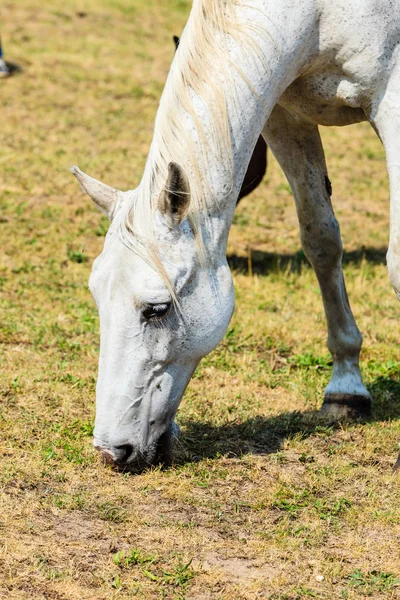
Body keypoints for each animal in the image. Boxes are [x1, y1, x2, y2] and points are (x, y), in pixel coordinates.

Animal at [71, 0, 400, 472]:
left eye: (156, 309)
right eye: (98, 298)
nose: (111, 451)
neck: (316, 15)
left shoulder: (391, 102)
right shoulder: (283, 112)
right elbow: (321, 240)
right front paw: (346, 390)